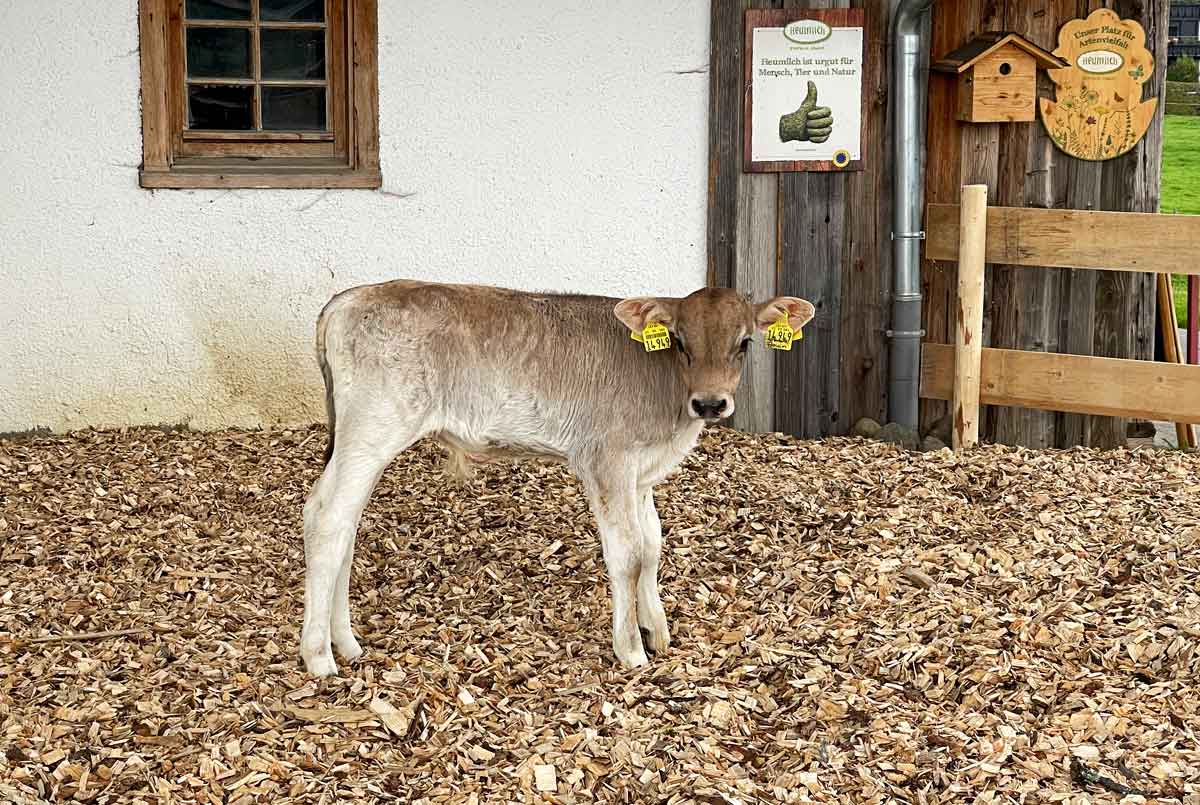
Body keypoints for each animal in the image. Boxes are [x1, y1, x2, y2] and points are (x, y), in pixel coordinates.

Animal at [299, 280, 815, 677]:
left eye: (744, 342)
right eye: (680, 341)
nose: (710, 404)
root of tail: (344, 300)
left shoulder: (641, 476)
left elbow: (652, 546)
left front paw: (658, 630)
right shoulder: (606, 462)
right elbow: (627, 555)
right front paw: (631, 648)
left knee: (331, 516)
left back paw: (347, 643)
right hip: (373, 428)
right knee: (331, 519)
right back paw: (320, 655)